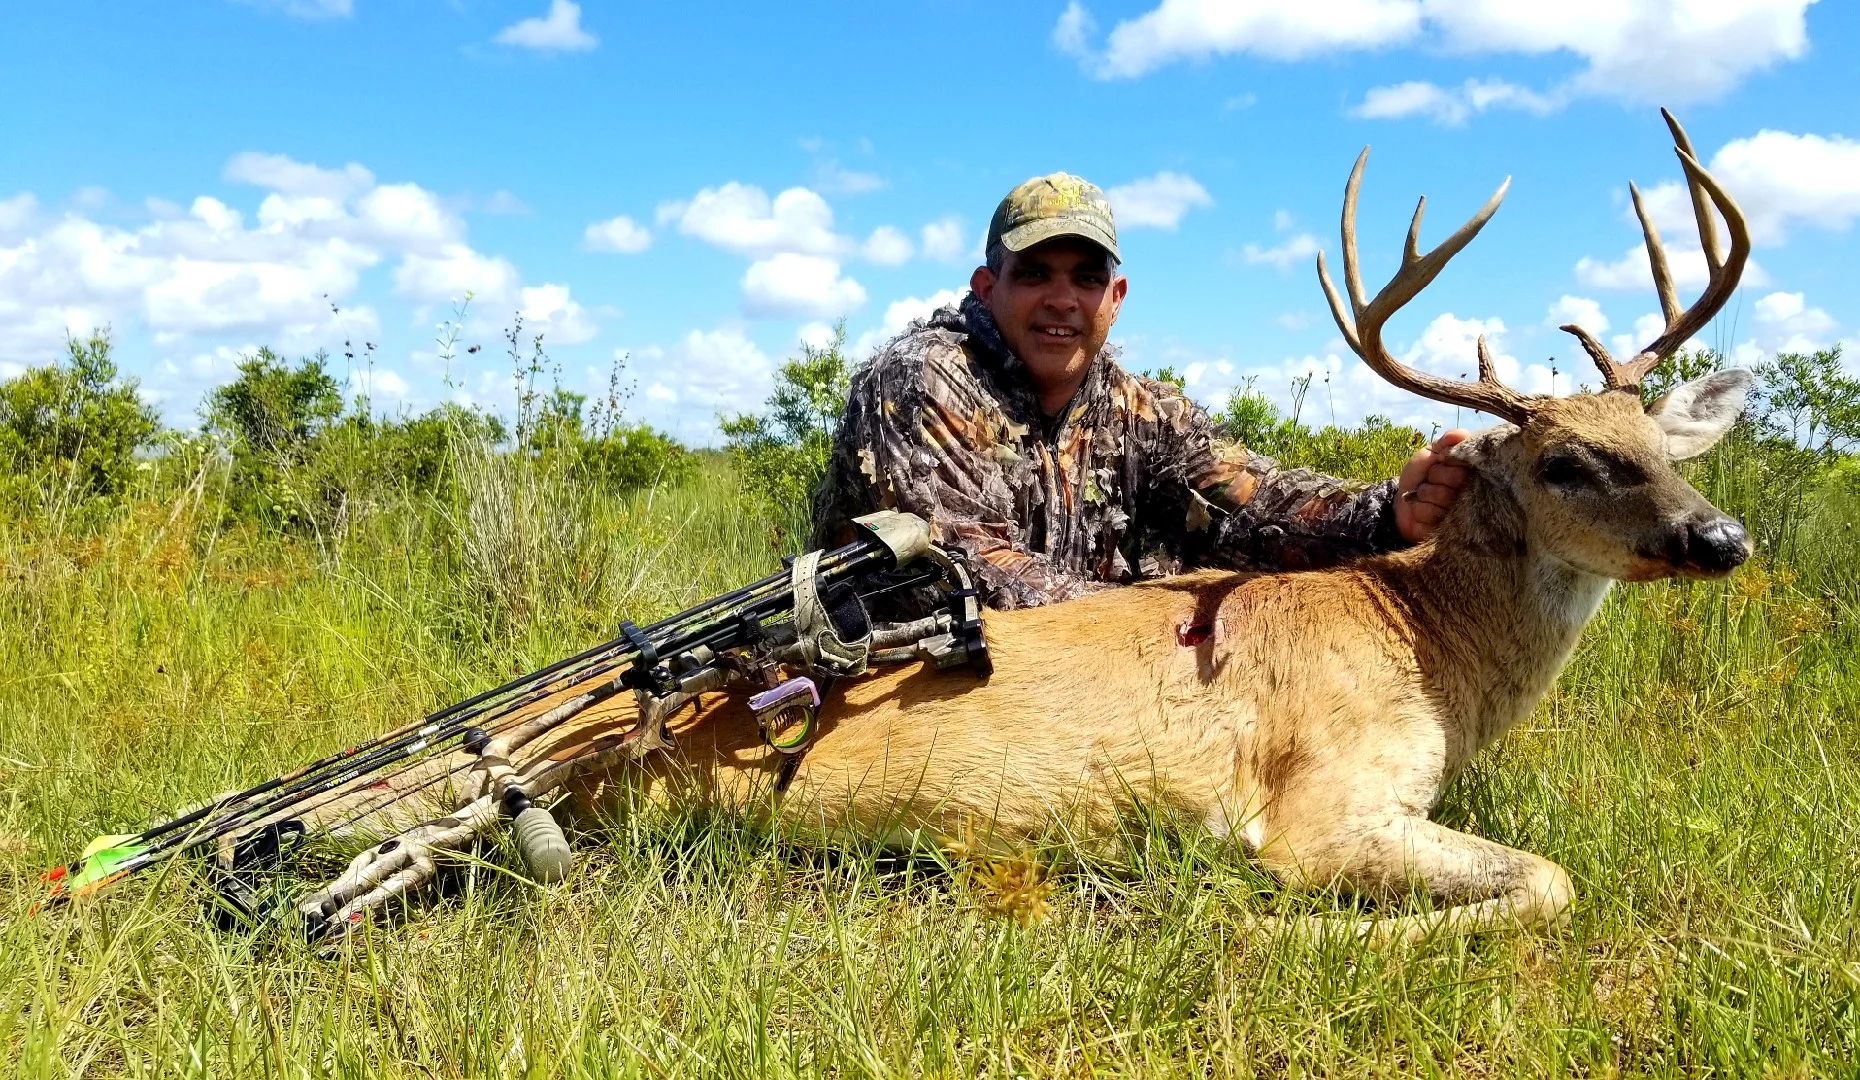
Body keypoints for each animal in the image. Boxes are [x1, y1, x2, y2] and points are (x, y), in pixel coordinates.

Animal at [297, 110, 1754, 943]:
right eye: (1565, 460)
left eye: (1657, 444)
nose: (1720, 538)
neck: (1427, 649)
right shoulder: (1328, 803)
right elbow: (1544, 885)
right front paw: (1255, 924)